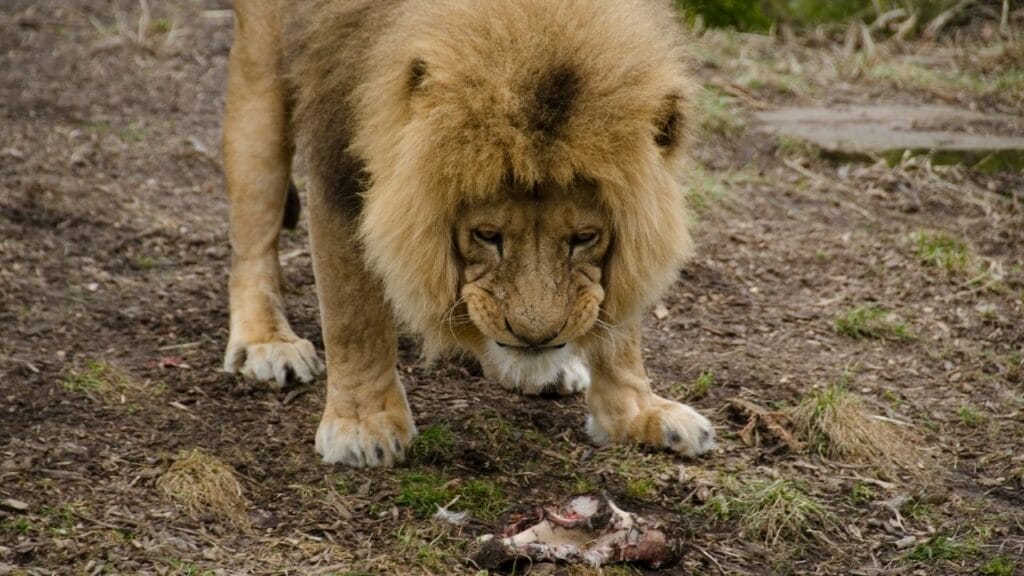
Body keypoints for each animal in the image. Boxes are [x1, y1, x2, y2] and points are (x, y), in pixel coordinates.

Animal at [222, 0, 715, 467]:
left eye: (584, 238)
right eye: (487, 234)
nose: (535, 336)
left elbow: (621, 329)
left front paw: (639, 412)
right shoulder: (340, 161)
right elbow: (354, 317)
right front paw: (363, 425)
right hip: (261, 74)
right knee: (252, 234)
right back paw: (266, 343)